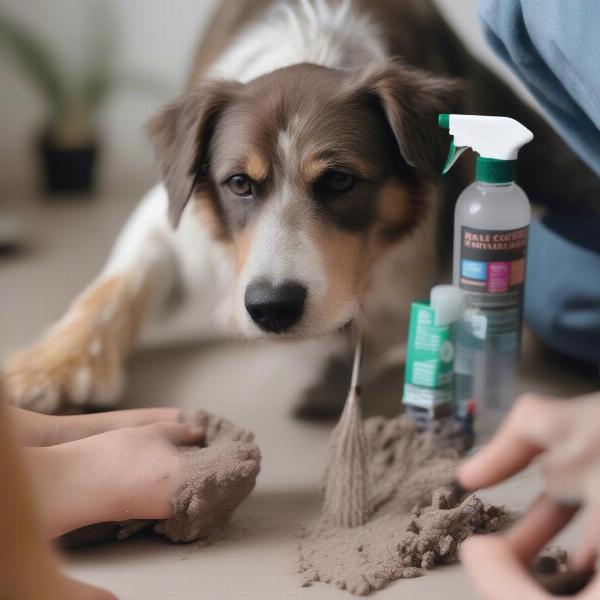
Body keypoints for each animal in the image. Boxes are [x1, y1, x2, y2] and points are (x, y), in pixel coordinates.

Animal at [4, 0, 600, 418]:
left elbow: (392, 319)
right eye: (239, 183)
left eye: (339, 180)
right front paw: (50, 370)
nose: (271, 309)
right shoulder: (175, 209)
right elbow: (116, 283)